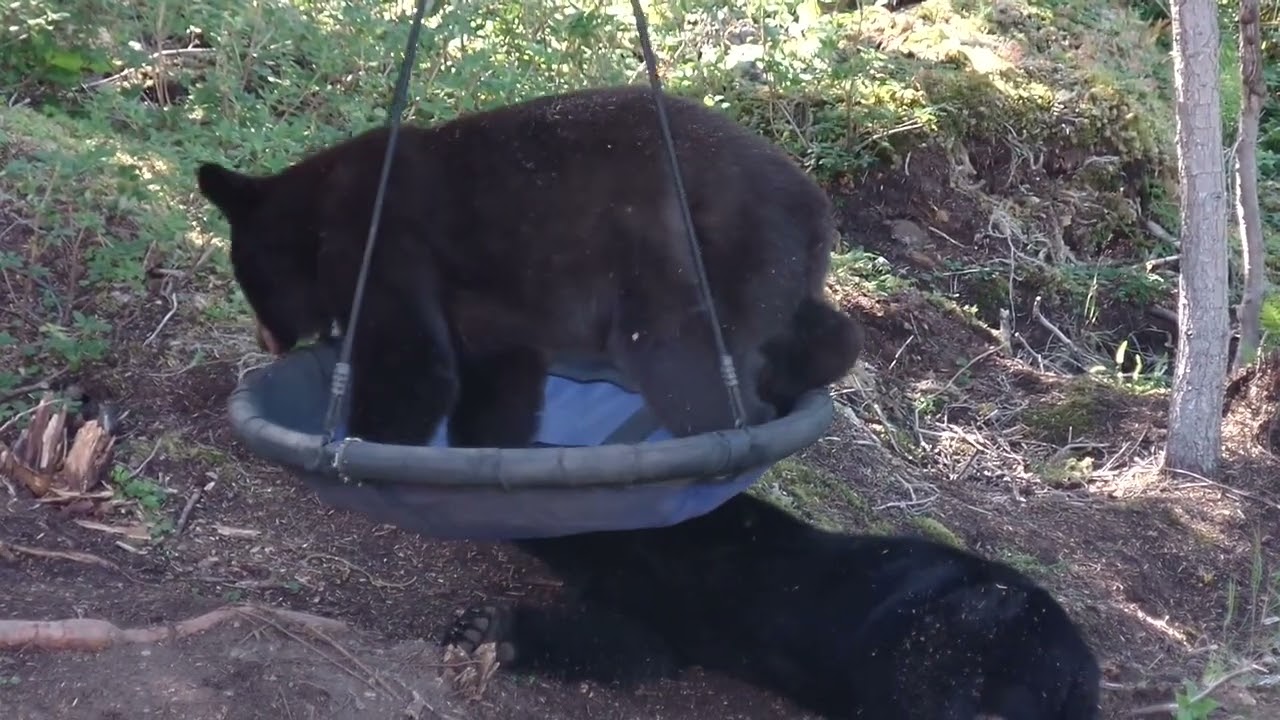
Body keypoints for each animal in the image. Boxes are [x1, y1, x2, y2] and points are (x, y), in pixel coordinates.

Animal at [195, 85, 864, 448]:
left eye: (244, 279)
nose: (263, 339)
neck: (316, 220)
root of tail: (815, 208)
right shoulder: (492, 319)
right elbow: (500, 379)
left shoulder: (379, 247)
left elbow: (414, 365)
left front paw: (368, 447)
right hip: (765, 267)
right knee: (818, 328)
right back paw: (801, 372)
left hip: (690, 266)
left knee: (688, 368)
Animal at [448, 492, 1102, 720]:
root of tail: (1079, 661)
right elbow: (619, 644)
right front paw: (493, 629)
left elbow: (625, 646)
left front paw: (491, 626)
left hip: (948, 635)